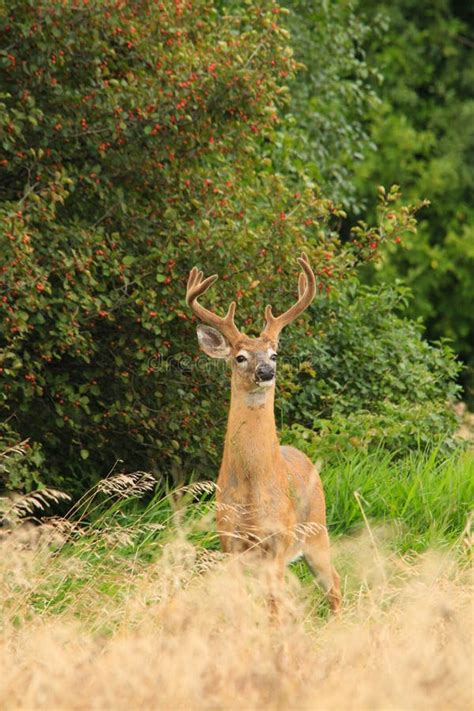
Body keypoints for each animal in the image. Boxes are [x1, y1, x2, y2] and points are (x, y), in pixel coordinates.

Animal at [185, 254, 340, 612]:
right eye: (240, 356)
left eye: (274, 354)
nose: (266, 371)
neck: (253, 488)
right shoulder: (229, 539)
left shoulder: (278, 541)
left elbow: (274, 606)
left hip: (317, 530)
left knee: (335, 584)